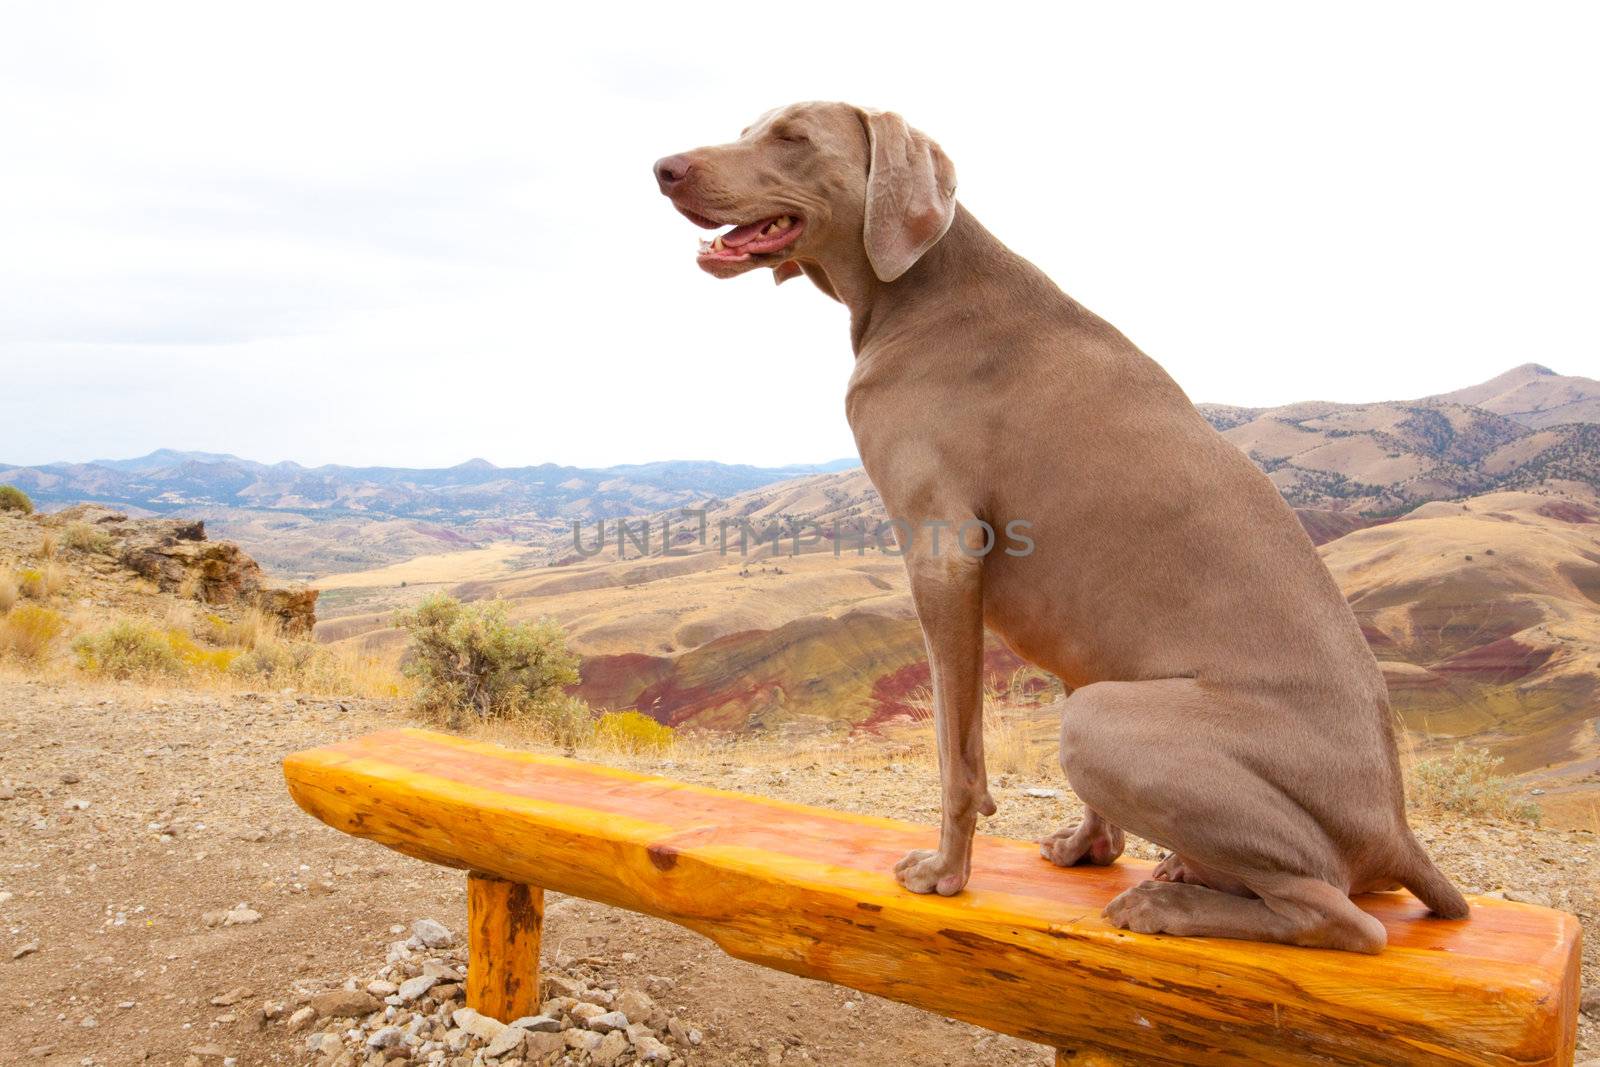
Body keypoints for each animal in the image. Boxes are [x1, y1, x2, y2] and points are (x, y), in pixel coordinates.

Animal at [656, 99, 1465, 953]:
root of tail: (1399, 828)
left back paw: (1168, 904)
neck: (919, 290)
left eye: (792, 137)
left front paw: (945, 872)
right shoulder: (1067, 616)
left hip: (1104, 722)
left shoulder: (943, 553)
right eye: (751, 128)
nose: (663, 168)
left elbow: (956, 753)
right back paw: (1183, 868)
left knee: (1343, 916)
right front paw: (1089, 847)